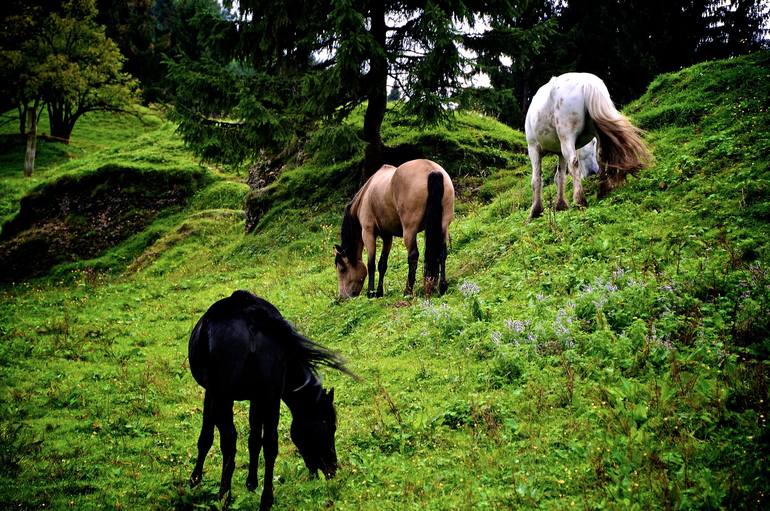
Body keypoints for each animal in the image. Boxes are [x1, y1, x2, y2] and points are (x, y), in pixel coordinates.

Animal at [188, 290, 352, 510]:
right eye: (329, 425)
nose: (333, 467)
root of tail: (249, 314)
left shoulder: (213, 392)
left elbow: (207, 436)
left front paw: (195, 480)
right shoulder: (258, 397)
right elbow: (254, 439)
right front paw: (251, 483)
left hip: (226, 395)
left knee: (229, 440)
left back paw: (225, 496)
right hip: (268, 395)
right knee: (269, 444)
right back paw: (266, 498)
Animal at [332, 158, 452, 298]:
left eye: (342, 269)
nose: (342, 297)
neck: (366, 194)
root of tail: (431, 170)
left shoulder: (368, 233)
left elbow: (371, 264)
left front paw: (371, 293)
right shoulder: (387, 236)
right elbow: (382, 264)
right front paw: (379, 292)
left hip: (409, 231)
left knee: (413, 256)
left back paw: (408, 291)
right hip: (443, 226)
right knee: (442, 252)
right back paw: (442, 286)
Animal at [520, 71, 648, 219]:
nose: (592, 171)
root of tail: (587, 83)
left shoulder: (533, 148)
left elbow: (537, 178)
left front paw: (536, 211)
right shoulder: (560, 152)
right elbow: (560, 177)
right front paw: (561, 205)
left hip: (566, 137)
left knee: (574, 162)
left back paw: (579, 200)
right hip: (593, 133)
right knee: (601, 155)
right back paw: (602, 190)